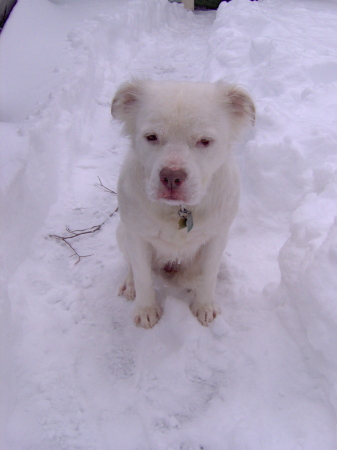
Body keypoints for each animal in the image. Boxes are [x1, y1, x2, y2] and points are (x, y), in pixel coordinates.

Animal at [111, 80, 253, 326]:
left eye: (204, 141)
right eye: (151, 137)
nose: (171, 176)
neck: (177, 210)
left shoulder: (217, 237)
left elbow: (209, 275)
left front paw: (204, 306)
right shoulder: (136, 237)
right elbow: (142, 275)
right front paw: (146, 309)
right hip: (122, 232)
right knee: (131, 265)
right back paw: (130, 285)